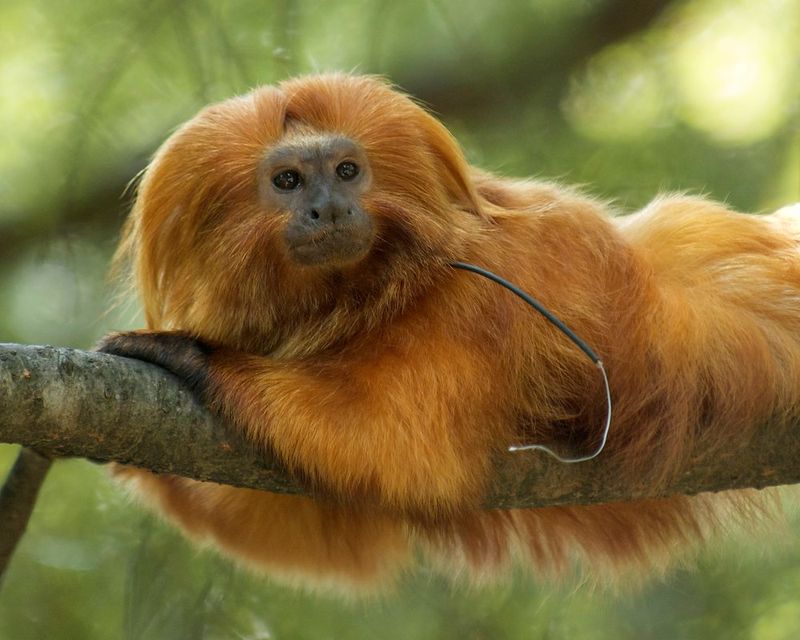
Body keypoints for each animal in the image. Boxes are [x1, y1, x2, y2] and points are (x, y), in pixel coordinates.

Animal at [98, 72, 800, 592]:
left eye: (347, 171)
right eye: (289, 181)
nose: (328, 208)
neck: (367, 288)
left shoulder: (472, 301)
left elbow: (391, 443)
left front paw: (192, 356)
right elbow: (323, 530)